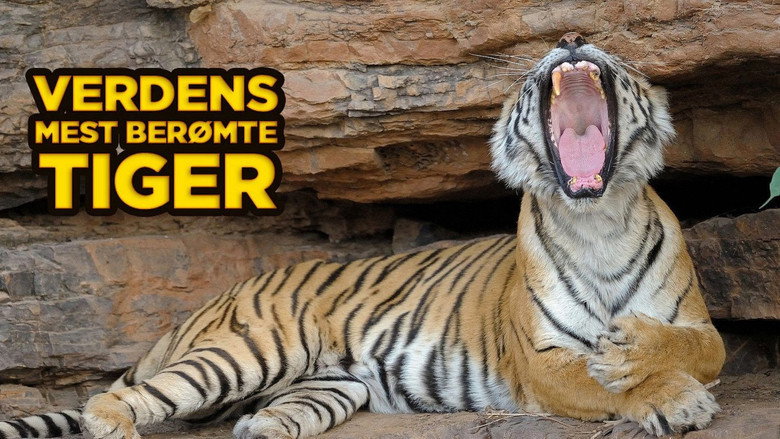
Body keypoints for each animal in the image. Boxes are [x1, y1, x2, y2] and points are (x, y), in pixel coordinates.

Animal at [0, 32, 726, 439]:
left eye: (617, 59)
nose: (571, 40)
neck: (595, 216)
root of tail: (220, 297)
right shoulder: (541, 362)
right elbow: (609, 382)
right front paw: (669, 395)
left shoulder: (700, 325)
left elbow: (690, 347)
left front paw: (637, 350)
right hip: (247, 351)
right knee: (115, 396)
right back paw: (115, 426)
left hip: (327, 384)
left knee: (270, 412)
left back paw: (263, 427)